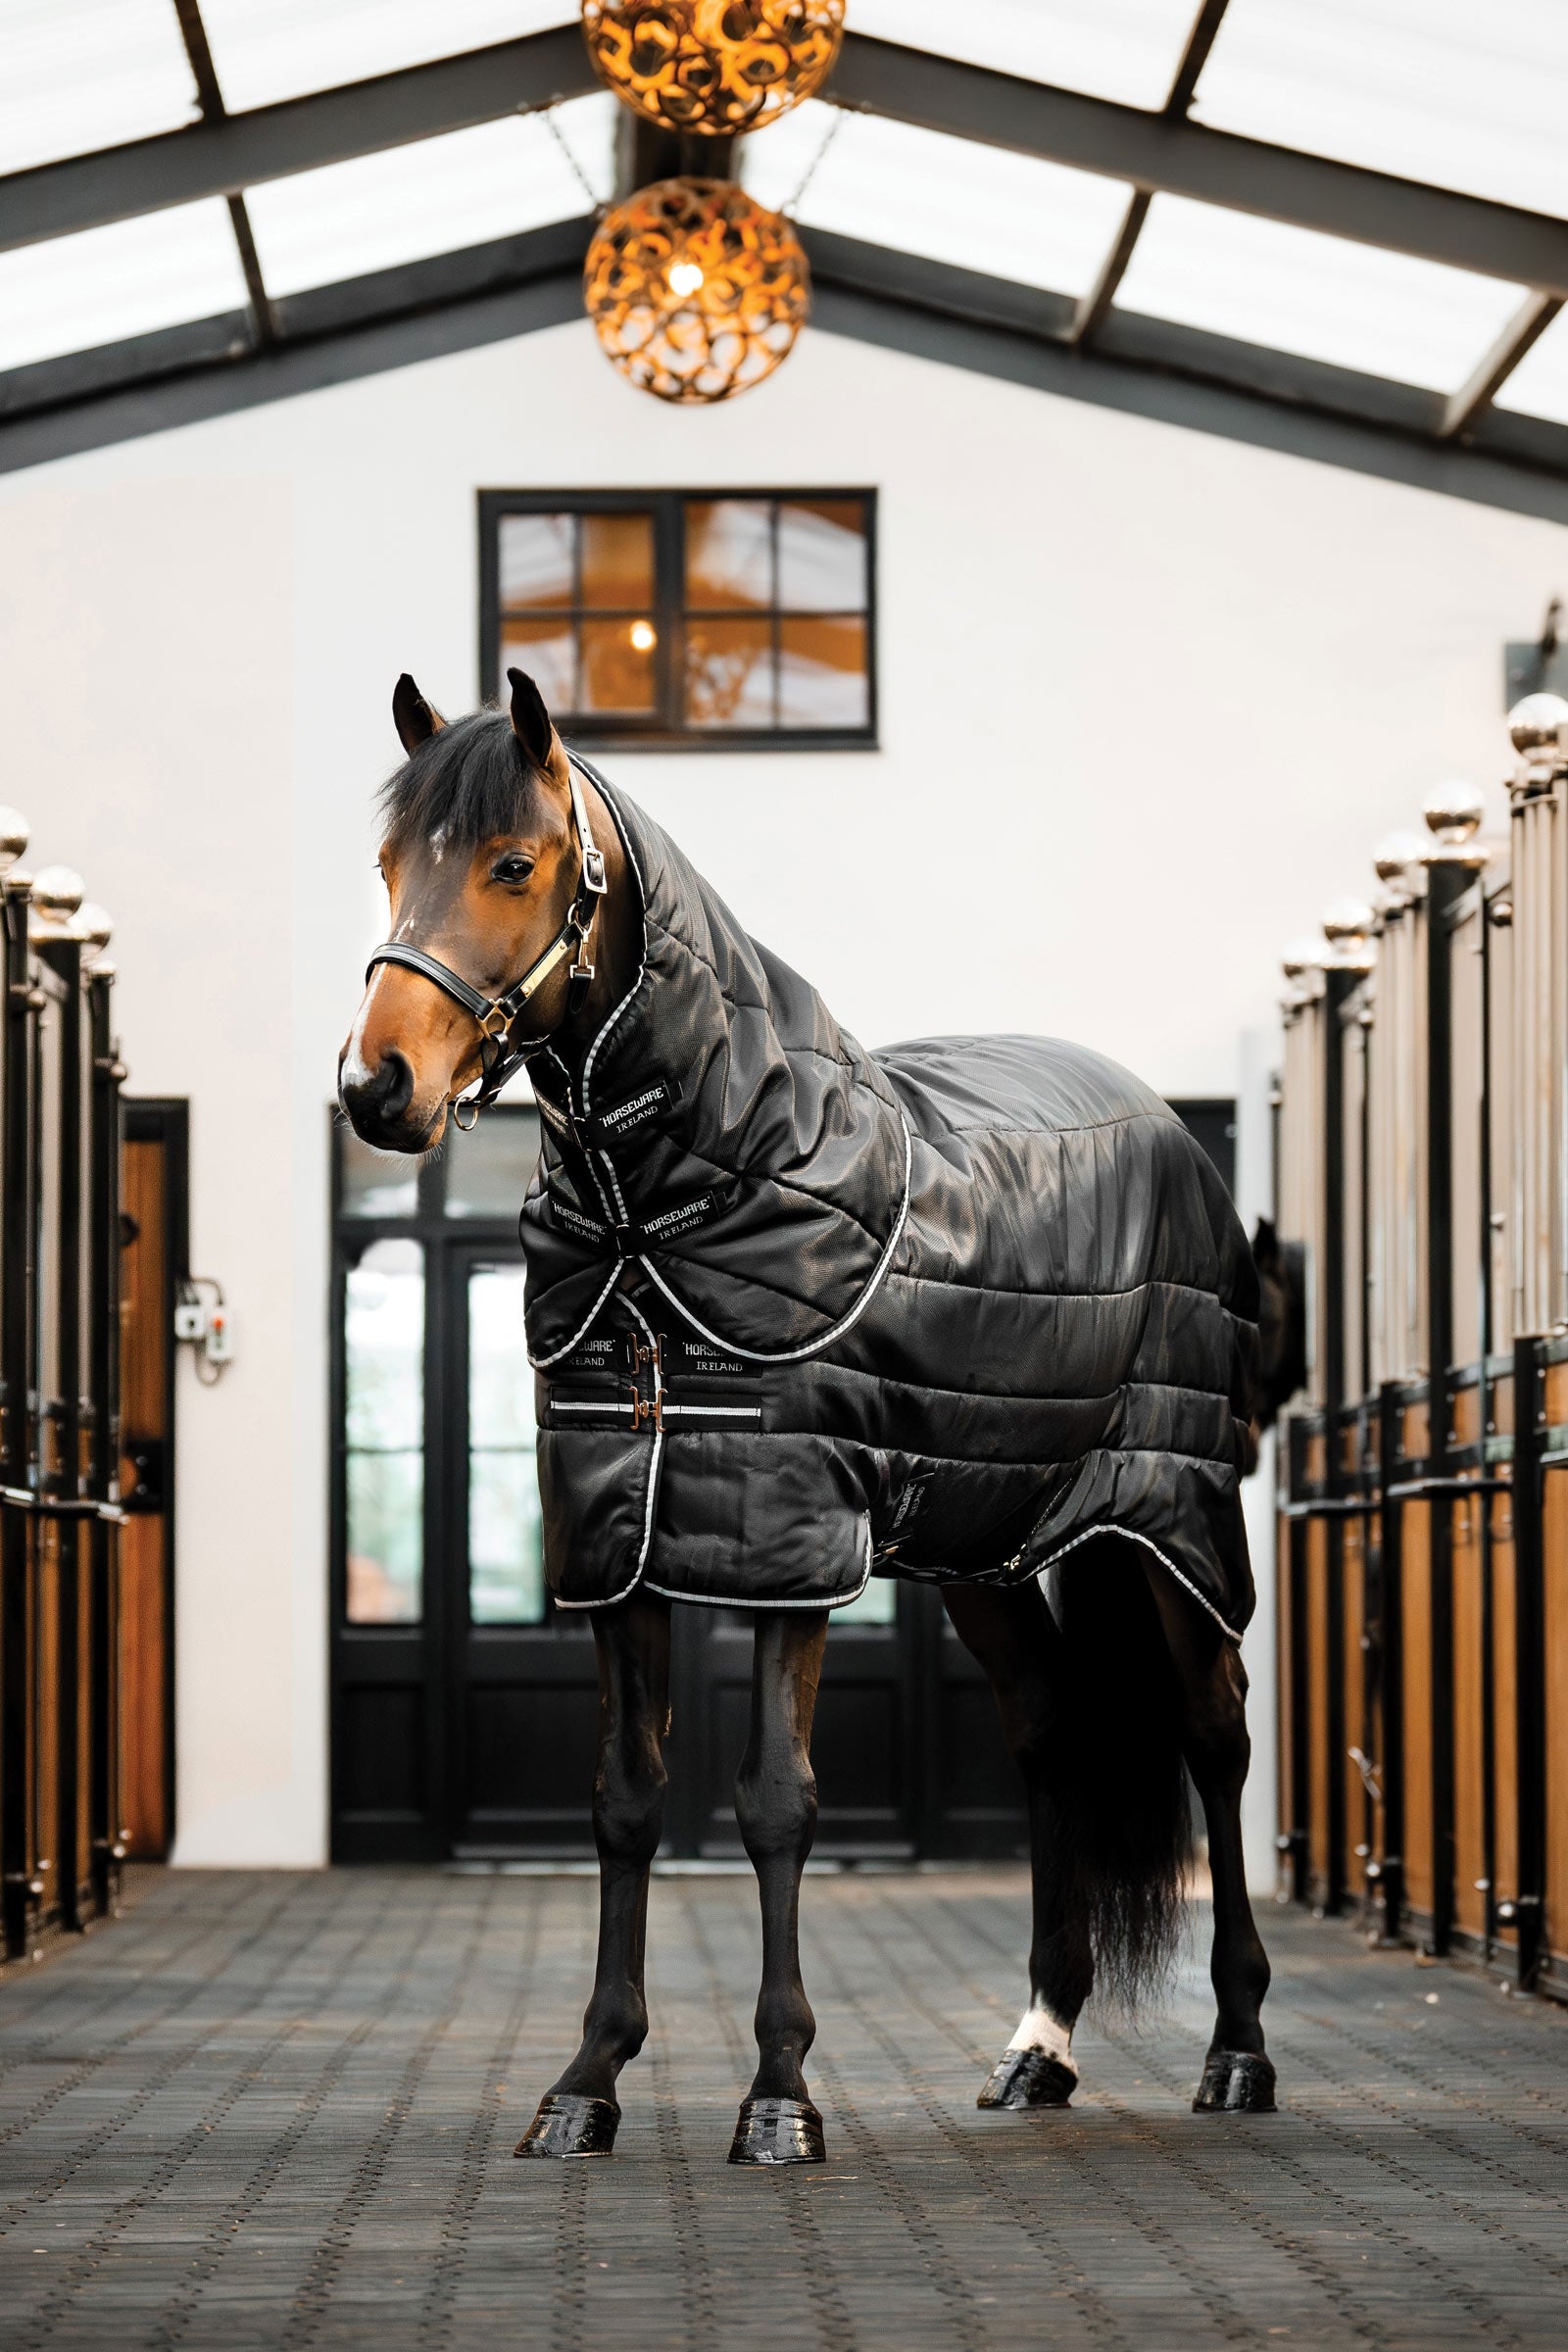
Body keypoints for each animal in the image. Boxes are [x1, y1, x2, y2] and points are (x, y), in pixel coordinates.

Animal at [339, 667, 1275, 2165]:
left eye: (513, 864)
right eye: (386, 865)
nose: (378, 1088)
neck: (678, 1203)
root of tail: (1172, 1131)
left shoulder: (788, 1542)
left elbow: (778, 1801)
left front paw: (779, 2096)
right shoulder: (618, 1544)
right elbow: (622, 1800)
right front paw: (586, 2083)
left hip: (1170, 1513)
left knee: (1213, 1729)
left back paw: (1238, 2048)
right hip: (982, 1540)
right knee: (1050, 1726)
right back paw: (1040, 2047)